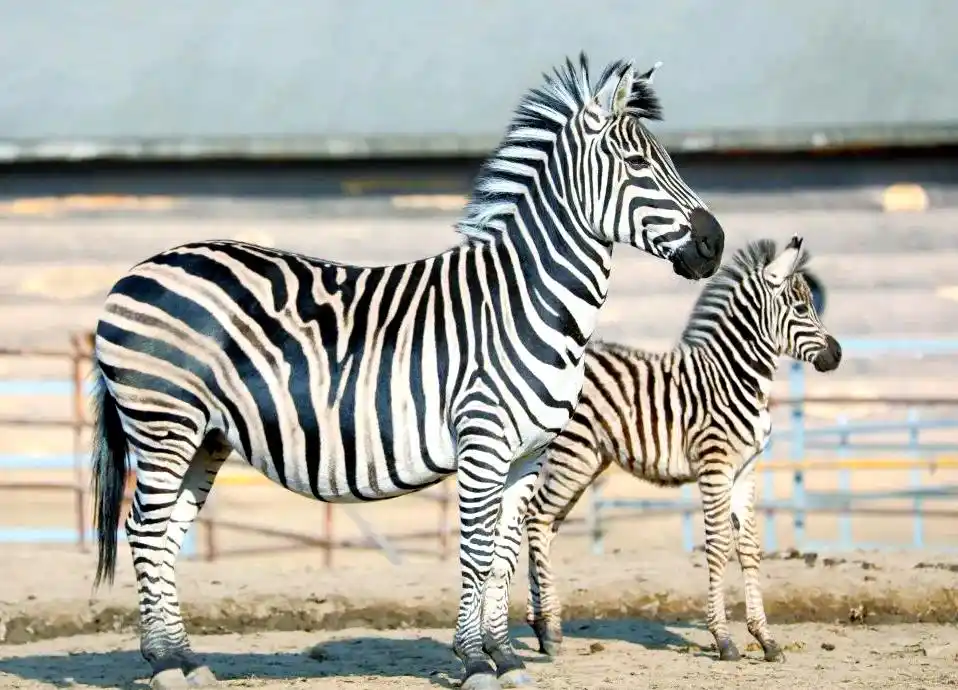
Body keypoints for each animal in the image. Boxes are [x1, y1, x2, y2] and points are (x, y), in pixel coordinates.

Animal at [89, 52, 726, 690]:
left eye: (670, 160)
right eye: (638, 163)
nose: (714, 244)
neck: (526, 301)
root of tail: (137, 270)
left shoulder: (528, 453)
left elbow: (504, 552)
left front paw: (506, 657)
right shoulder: (482, 441)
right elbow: (475, 551)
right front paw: (474, 661)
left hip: (207, 436)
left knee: (168, 534)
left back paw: (185, 659)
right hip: (164, 422)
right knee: (144, 531)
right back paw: (164, 662)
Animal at [523, 235, 842, 664]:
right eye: (800, 308)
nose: (837, 354)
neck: (735, 376)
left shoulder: (746, 469)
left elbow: (749, 548)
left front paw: (766, 639)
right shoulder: (715, 465)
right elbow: (718, 546)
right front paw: (724, 640)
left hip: (583, 459)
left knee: (539, 523)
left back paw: (539, 625)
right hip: (572, 454)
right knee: (537, 518)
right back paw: (552, 630)